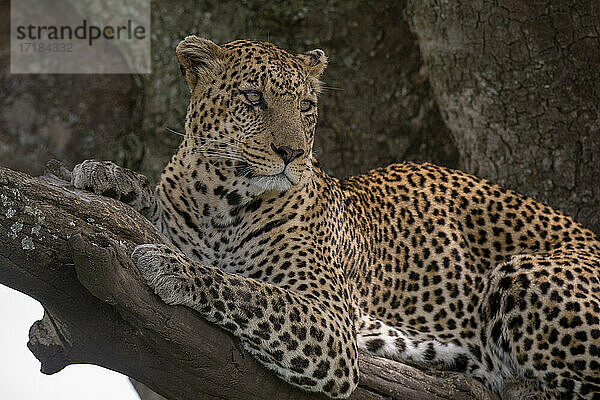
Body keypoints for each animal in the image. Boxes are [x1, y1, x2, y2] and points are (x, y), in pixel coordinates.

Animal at [72, 36, 600, 398]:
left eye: (306, 105)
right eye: (253, 98)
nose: (292, 153)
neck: (223, 202)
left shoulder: (328, 323)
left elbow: (250, 290)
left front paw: (173, 269)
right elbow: (156, 207)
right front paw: (107, 176)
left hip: (525, 275)